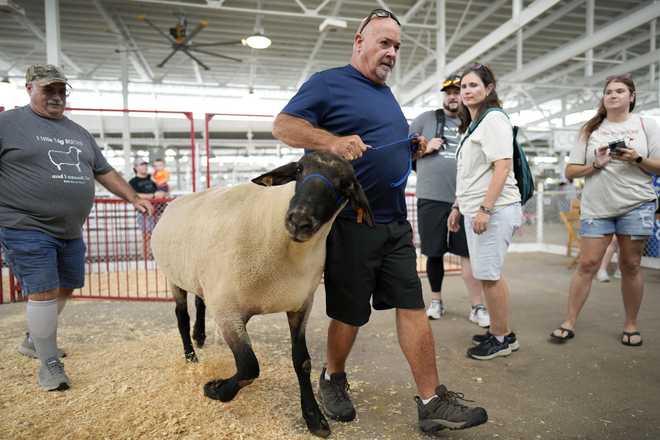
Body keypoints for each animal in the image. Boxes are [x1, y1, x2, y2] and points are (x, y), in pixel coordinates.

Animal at [151, 150, 374, 436]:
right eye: (299, 170)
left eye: (346, 184)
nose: (299, 221)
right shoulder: (227, 311)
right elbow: (249, 365)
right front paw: (215, 390)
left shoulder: (300, 305)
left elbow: (302, 362)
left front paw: (314, 418)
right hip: (173, 278)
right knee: (182, 316)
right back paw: (191, 357)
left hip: (200, 277)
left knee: (200, 302)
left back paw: (199, 337)